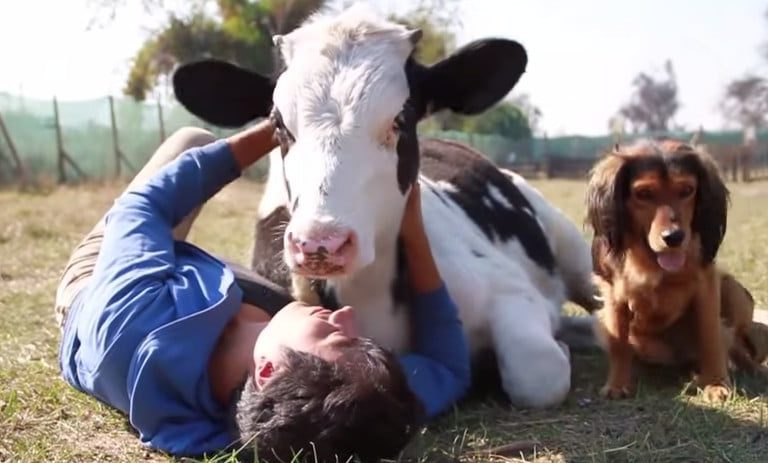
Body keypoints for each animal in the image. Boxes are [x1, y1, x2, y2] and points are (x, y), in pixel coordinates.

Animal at [172, 3, 599, 409]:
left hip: (573, 249)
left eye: (402, 117)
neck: (369, 293)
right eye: (278, 123)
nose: (320, 244)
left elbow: (536, 371)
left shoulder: (509, 289)